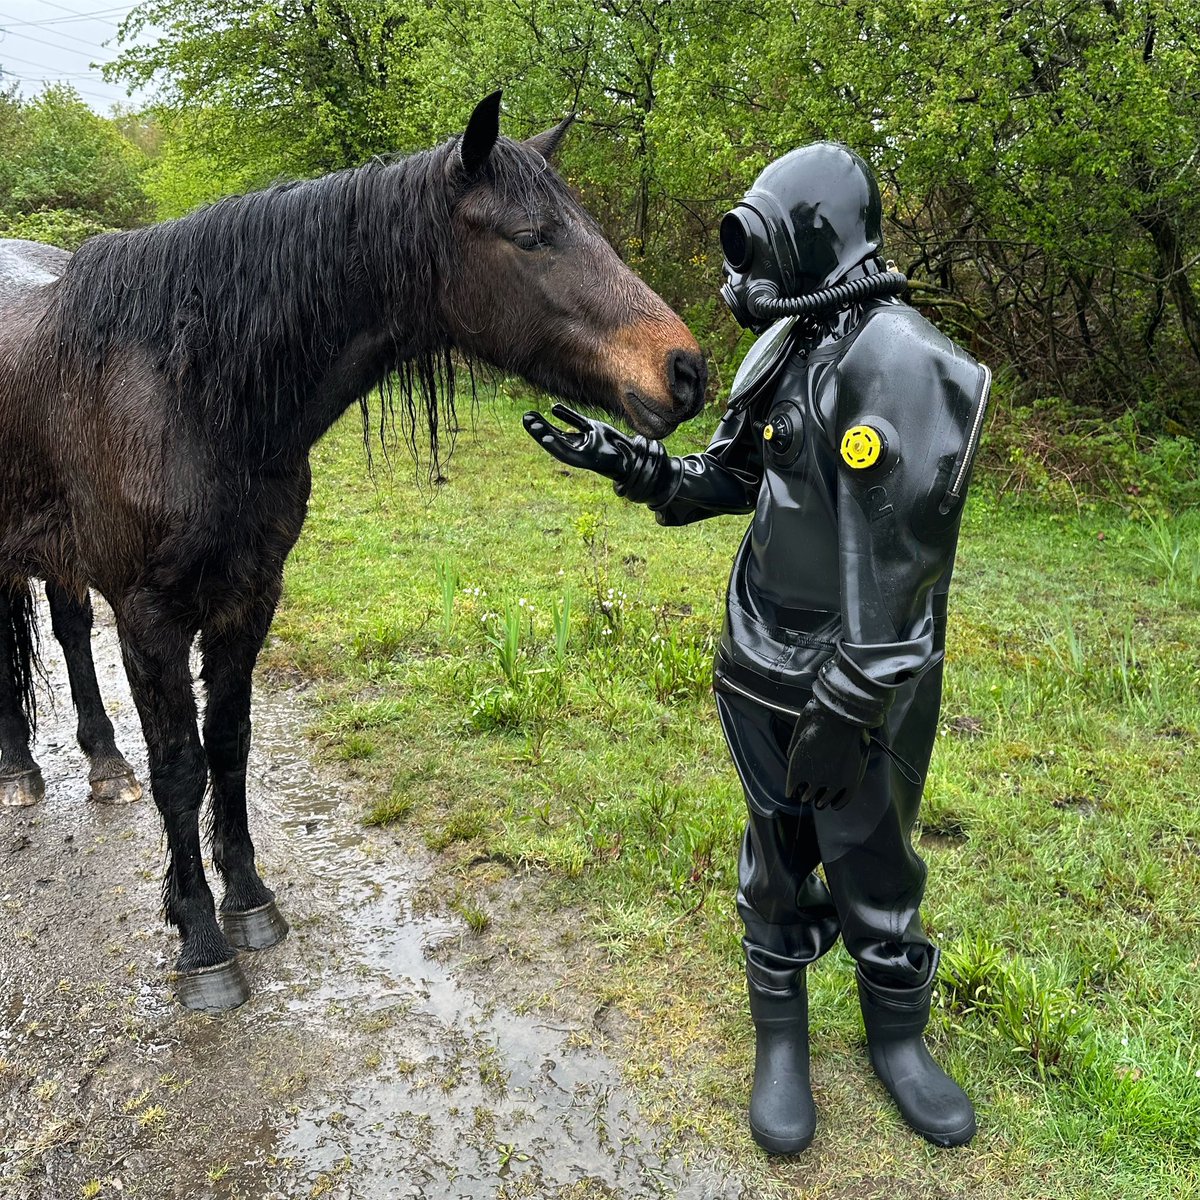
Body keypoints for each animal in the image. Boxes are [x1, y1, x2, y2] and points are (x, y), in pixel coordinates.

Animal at [0, 91, 706, 1012]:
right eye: (530, 237)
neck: (191, 394)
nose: (684, 369)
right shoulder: (150, 618)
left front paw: (250, 903)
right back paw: (22, 769)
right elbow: (181, 770)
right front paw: (202, 943)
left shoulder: (249, 599)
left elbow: (230, 745)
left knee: (66, 635)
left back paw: (94, 763)